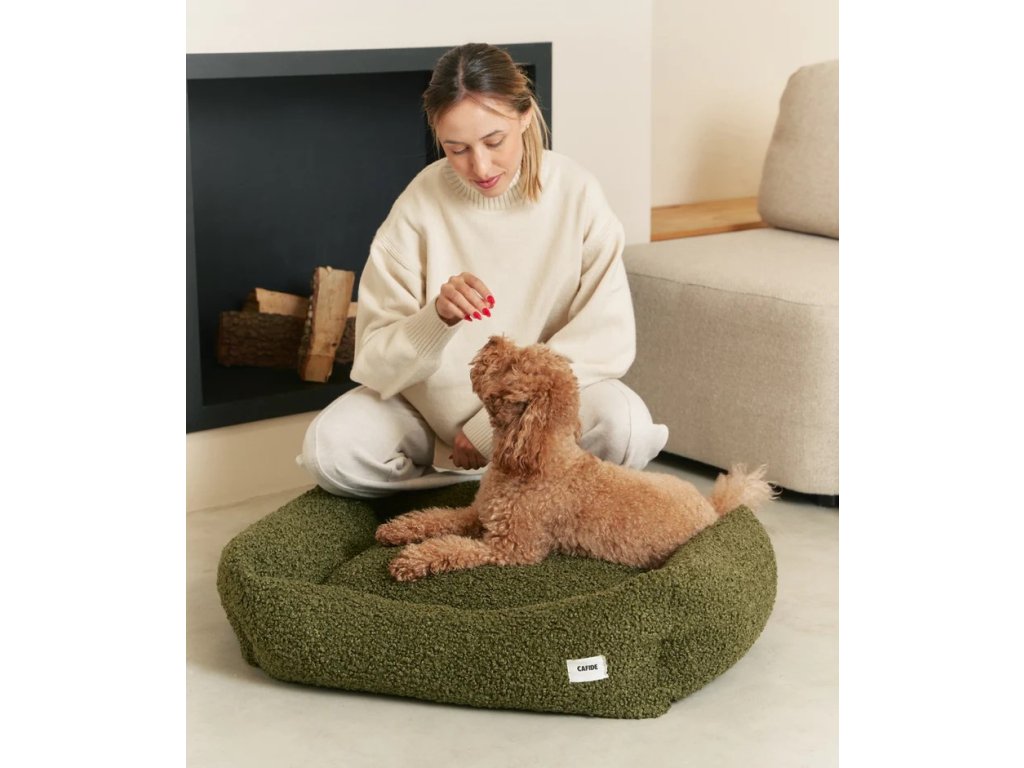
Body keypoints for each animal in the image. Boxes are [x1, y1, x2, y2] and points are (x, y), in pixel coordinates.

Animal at [376, 336, 776, 581]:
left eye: (512, 364)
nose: (493, 340)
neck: (536, 462)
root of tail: (713, 507)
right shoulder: (478, 513)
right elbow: (437, 518)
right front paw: (396, 530)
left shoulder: (510, 548)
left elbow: (453, 547)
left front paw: (412, 560)